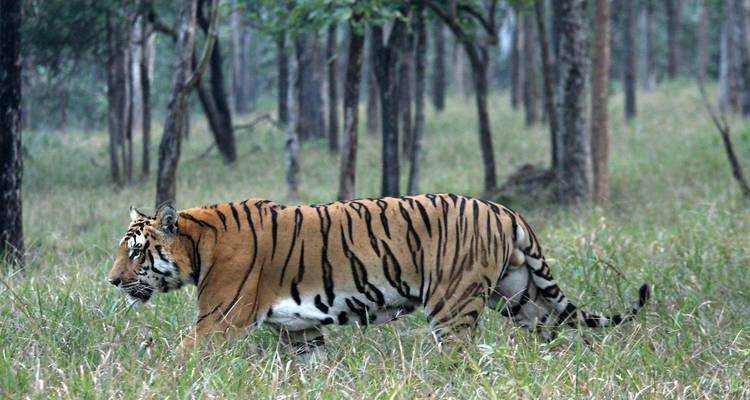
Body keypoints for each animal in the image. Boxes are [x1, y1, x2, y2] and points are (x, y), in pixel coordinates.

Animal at [108, 194, 649, 354]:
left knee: (460, 359)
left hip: (453, 307)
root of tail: (504, 209)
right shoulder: (299, 331)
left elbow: (178, 359)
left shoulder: (218, 321)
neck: (199, 245)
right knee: (551, 336)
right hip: (523, 299)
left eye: (135, 253)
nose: (111, 282)